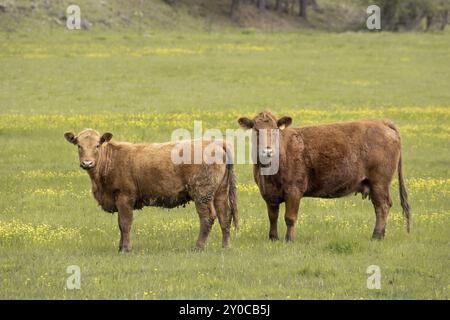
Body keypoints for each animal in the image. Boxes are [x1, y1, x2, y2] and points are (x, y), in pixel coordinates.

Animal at [64, 128, 239, 252]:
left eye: (97, 145)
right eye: (79, 145)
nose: (87, 163)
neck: (110, 160)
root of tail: (217, 143)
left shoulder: (124, 197)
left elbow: (125, 223)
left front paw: (126, 248)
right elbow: (120, 224)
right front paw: (120, 247)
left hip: (202, 194)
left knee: (207, 217)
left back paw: (198, 246)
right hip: (220, 192)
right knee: (224, 216)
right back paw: (226, 246)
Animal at [239, 111, 412, 241]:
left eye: (275, 129)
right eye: (256, 130)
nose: (267, 150)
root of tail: (381, 122)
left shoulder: (294, 190)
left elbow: (290, 217)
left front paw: (289, 239)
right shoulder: (269, 193)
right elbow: (272, 216)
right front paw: (273, 238)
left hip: (379, 182)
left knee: (382, 206)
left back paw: (376, 235)